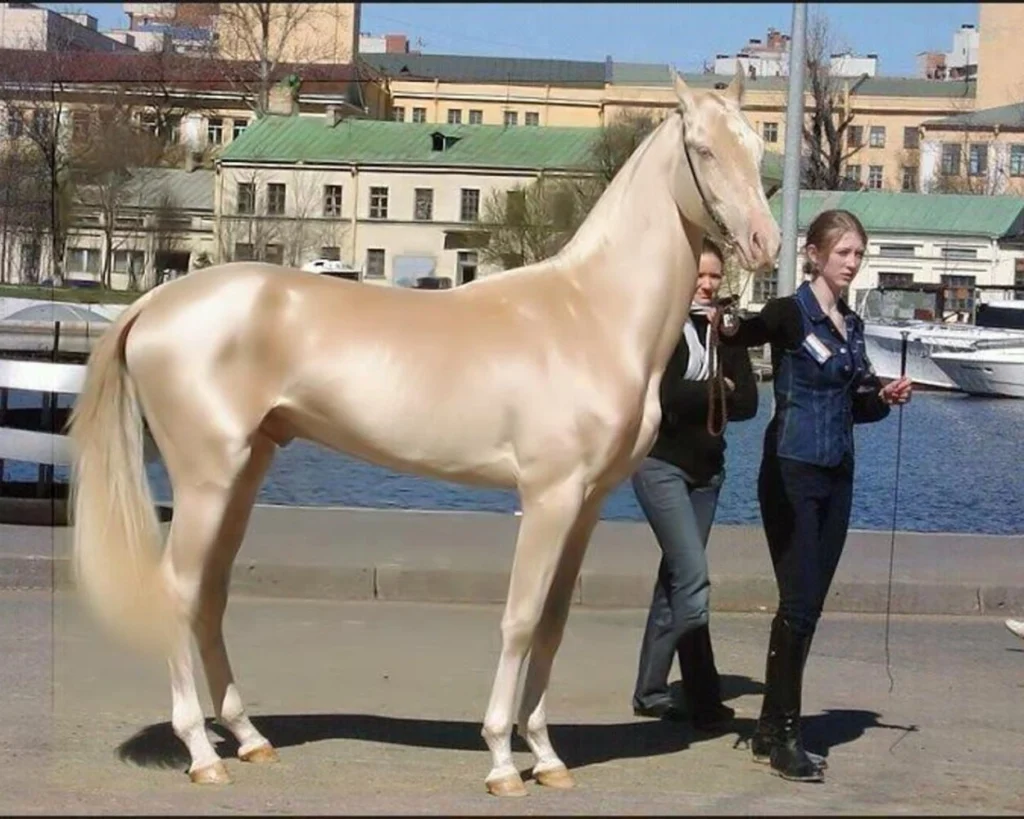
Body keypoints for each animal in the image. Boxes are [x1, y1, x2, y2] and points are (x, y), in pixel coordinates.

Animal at [68, 68, 779, 797]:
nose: (765, 243)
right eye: (704, 149)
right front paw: (502, 761)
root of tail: (156, 302)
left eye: (757, 147)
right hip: (206, 478)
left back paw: (248, 738)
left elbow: (552, 623)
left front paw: (547, 755)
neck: (590, 313)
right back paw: (201, 752)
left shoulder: (586, 505)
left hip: (244, 473)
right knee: (178, 592)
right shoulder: (548, 496)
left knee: (210, 594)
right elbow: (520, 620)